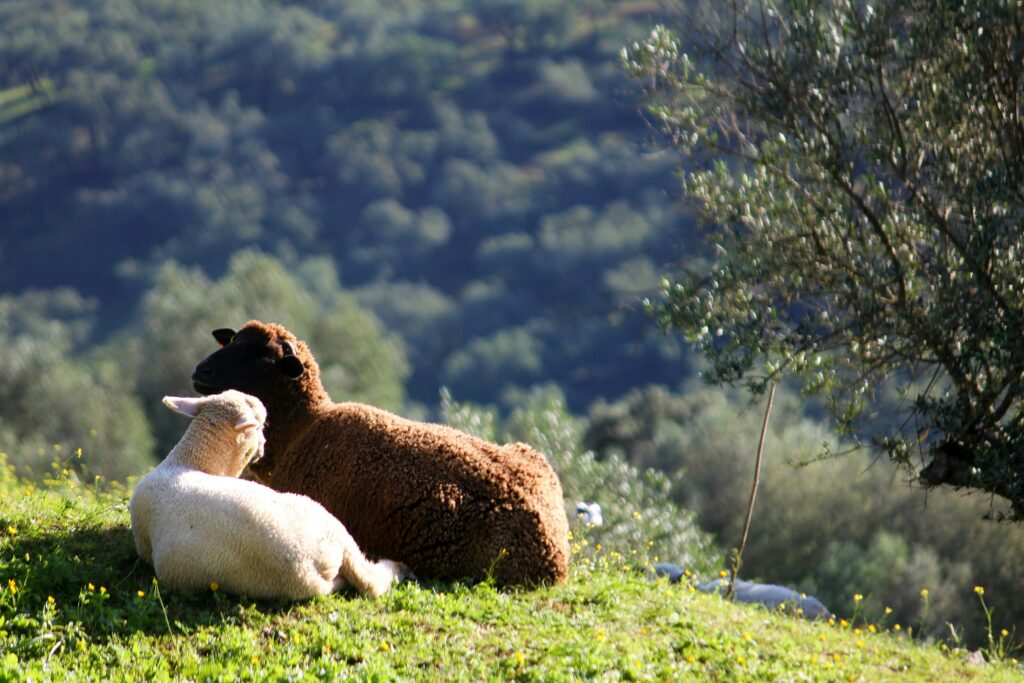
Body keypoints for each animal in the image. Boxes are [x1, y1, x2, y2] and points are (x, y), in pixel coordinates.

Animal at [129, 389, 407, 600]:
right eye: (261, 425)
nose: (263, 447)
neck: (189, 461)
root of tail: (305, 567)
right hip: (329, 522)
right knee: (370, 581)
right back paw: (397, 568)